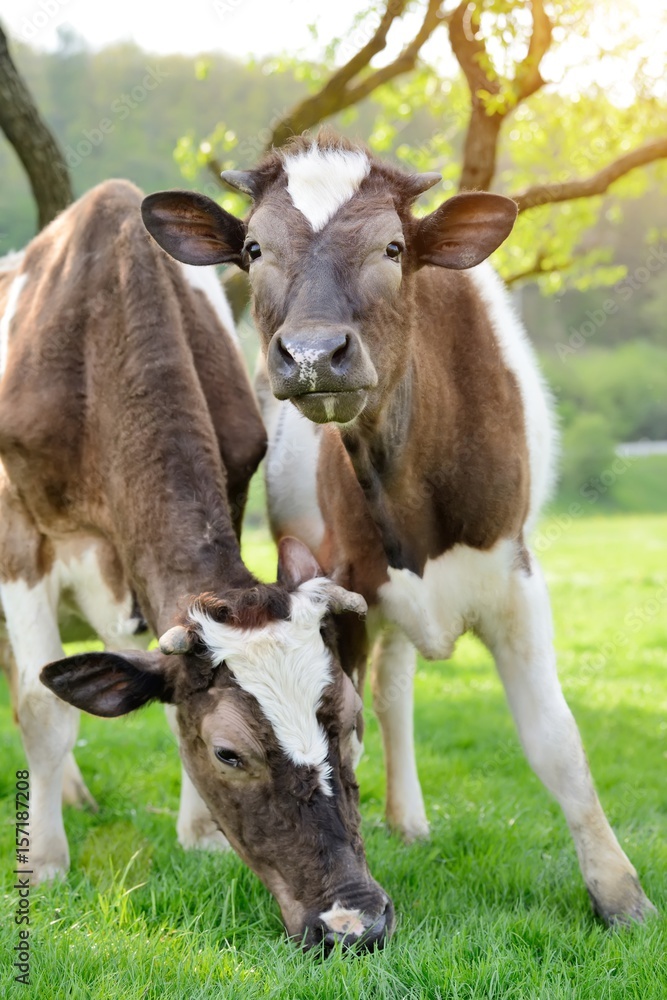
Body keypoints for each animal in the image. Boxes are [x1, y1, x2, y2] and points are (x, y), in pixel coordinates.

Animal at [0, 180, 394, 952]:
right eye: (228, 753)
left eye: (350, 718)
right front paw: (45, 862)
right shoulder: (20, 536)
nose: (354, 922)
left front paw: (200, 834)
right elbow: (41, 705)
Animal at [142, 129, 656, 924]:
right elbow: (337, 726)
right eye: (254, 248)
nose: (314, 355)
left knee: (396, 686)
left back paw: (408, 819)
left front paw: (620, 895)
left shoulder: (515, 576)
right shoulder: (340, 584)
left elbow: (555, 740)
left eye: (391, 247)